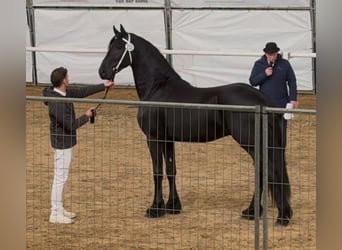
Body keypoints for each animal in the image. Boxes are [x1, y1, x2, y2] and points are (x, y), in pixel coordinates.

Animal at [97, 24, 292, 226]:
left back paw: (268, 214)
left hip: (251, 143)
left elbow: (157, 172)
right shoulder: (167, 140)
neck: (157, 88)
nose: (102, 72)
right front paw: (173, 206)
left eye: (118, 47)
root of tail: (262, 98)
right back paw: (261, 212)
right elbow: (171, 170)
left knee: (265, 170)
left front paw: (155, 208)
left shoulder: (153, 138)